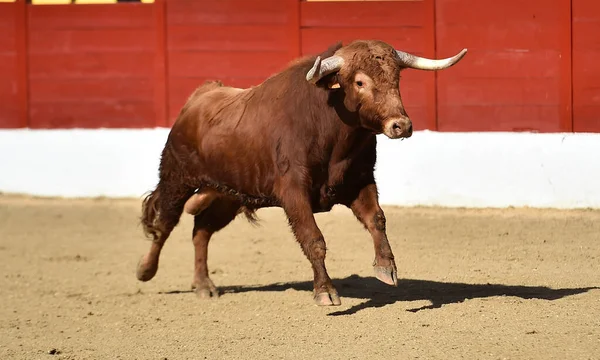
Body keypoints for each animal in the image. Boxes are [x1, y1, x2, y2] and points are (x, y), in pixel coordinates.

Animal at [137, 40, 468, 306]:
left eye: (396, 77)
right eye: (360, 82)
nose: (401, 125)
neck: (331, 129)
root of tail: (201, 96)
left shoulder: (360, 180)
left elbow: (376, 219)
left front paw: (386, 267)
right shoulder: (293, 191)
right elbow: (314, 239)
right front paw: (325, 291)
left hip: (228, 194)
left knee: (201, 230)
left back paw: (204, 285)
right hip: (176, 177)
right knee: (164, 224)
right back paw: (145, 270)